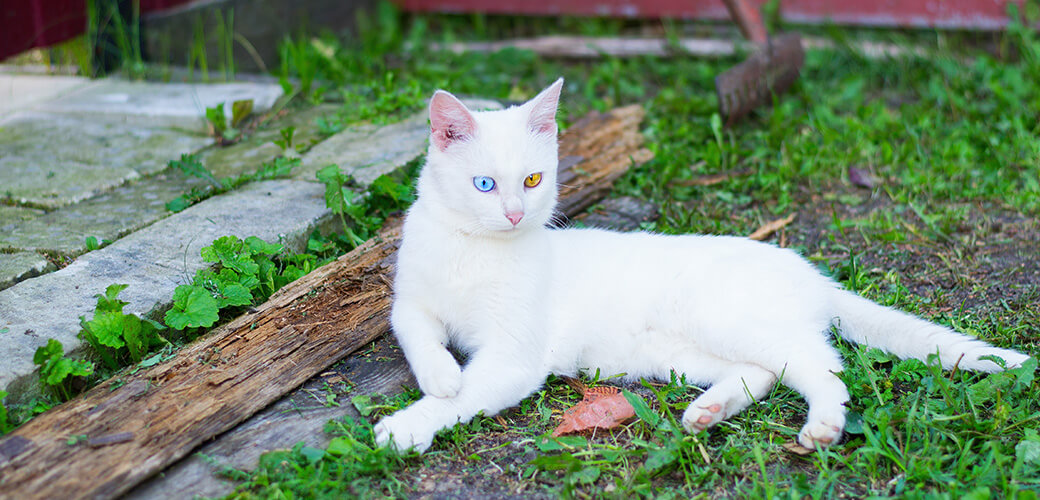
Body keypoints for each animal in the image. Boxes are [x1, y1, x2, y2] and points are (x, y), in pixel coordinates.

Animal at [372, 77, 1023, 453]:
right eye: (484, 184)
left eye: (532, 181)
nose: (513, 213)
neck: (473, 248)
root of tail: (808, 271)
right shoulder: (408, 303)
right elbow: (417, 334)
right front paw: (441, 372)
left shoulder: (513, 356)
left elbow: (462, 395)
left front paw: (411, 422)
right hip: (681, 354)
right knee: (766, 371)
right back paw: (709, 411)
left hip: (725, 316)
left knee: (825, 364)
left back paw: (822, 427)